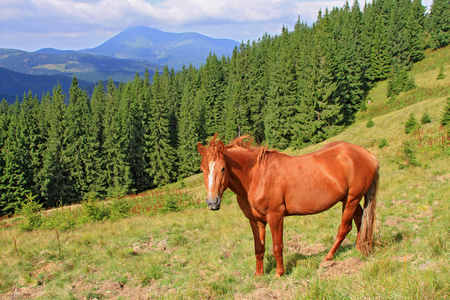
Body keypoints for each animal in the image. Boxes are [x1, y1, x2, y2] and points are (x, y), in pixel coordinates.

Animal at [198, 135, 380, 278]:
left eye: (223, 168)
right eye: (202, 169)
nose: (213, 202)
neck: (256, 176)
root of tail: (368, 154)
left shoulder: (275, 216)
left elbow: (277, 246)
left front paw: (279, 273)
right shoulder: (256, 221)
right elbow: (259, 248)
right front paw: (258, 275)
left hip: (352, 199)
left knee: (344, 228)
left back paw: (328, 258)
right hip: (348, 199)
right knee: (360, 221)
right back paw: (361, 248)